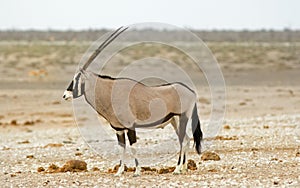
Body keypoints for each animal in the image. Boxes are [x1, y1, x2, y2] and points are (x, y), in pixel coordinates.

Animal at [63, 26, 204, 176]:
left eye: (77, 79)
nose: (65, 95)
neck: (110, 92)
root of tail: (191, 91)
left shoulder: (130, 126)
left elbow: (133, 147)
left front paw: (137, 171)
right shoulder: (119, 129)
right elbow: (122, 148)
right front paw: (119, 171)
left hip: (182, 117)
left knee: (183, 141)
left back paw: (177, 169)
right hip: (174, 121)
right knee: (186, 139)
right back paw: (183, 168)